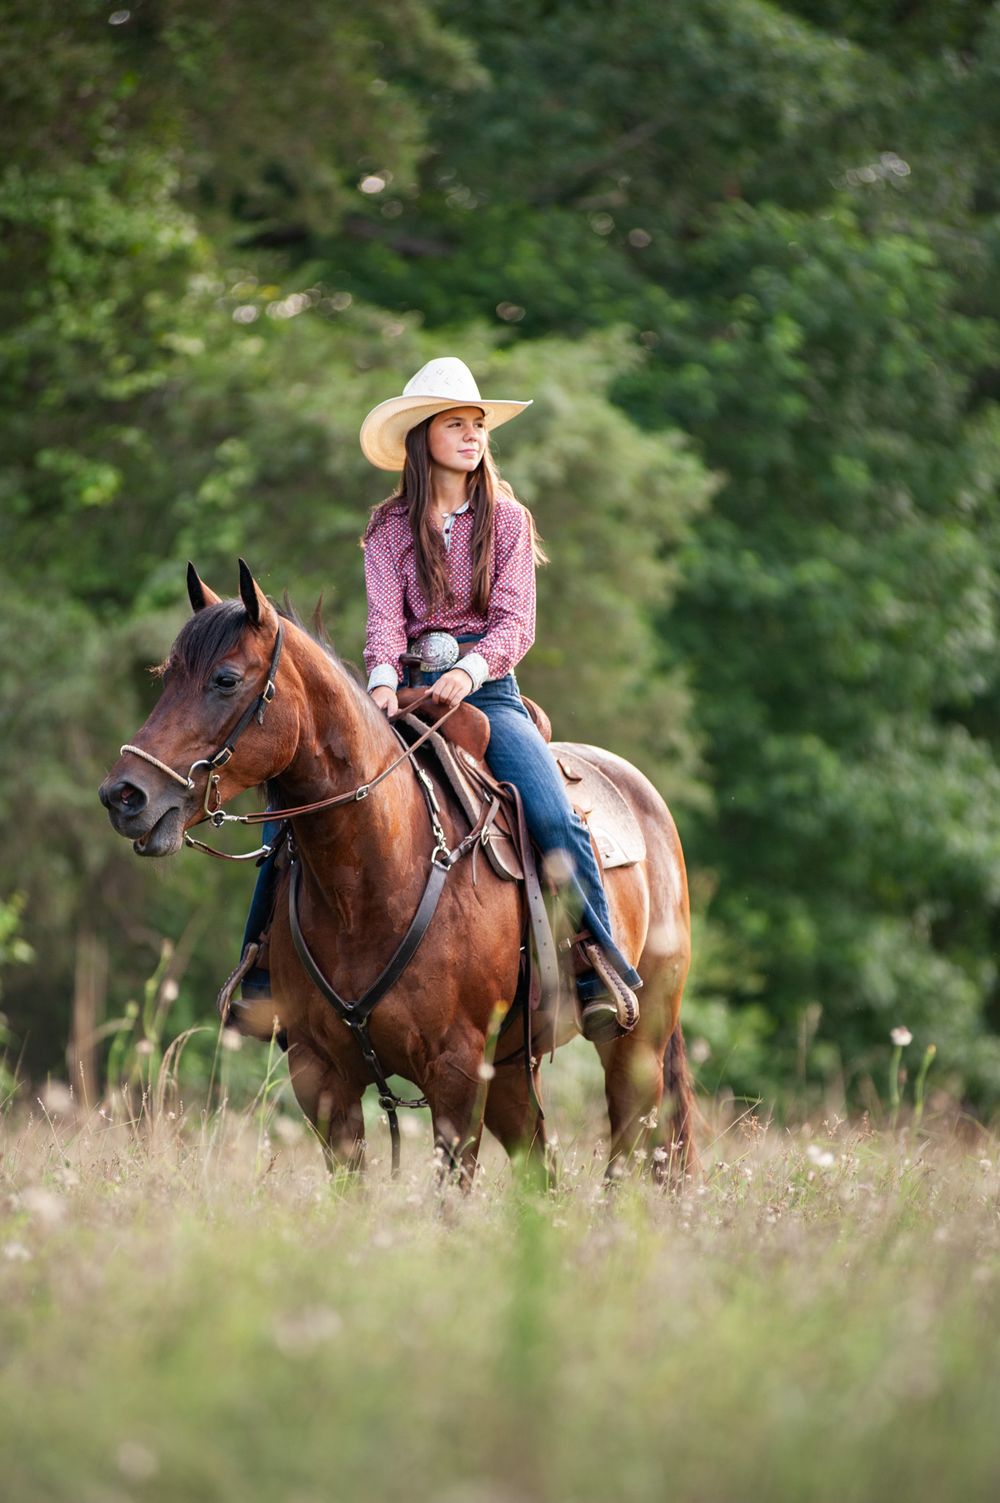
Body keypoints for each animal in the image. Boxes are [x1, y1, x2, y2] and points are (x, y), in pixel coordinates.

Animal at [99, 561, 696, 1181]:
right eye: (166, 676)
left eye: (224, 679)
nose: (123, 795)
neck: (366, 884)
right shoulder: (321, 1077)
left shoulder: (457, 1075)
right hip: (511, 1071)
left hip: (637, 1049)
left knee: (631, 1153)